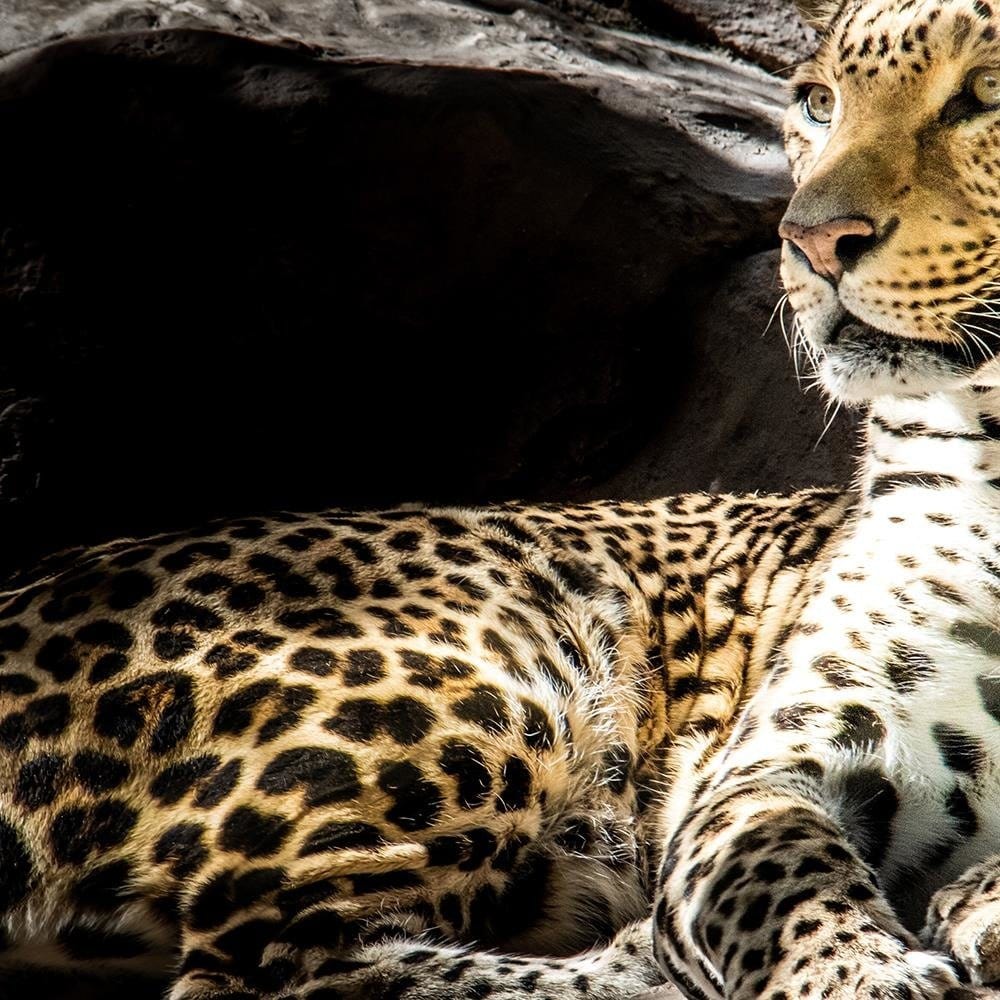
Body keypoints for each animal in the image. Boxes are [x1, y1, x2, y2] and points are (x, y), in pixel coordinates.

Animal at [9, 2, 1000, 999]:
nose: (811, 243)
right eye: (818, 102)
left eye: (984, 93)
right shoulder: (770, 765)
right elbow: (778, 868)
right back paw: (636, 957)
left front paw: (971, 906)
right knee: (287, 964)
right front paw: (867, 971)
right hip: (480, 690)